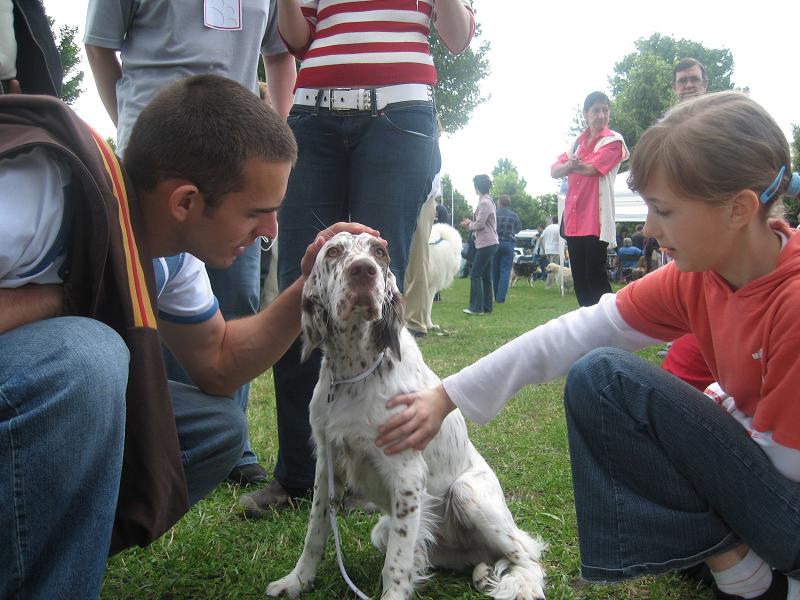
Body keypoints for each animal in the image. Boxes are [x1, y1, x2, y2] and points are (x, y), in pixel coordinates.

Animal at [266, 232, 548, 600]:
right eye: (333, 251)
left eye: (379, 252)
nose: (363, 270)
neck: (355, 373)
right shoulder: (327, 465)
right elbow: (315, 531)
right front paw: (297, 581)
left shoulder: (408, 476)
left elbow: (396, 564)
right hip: (383, 529)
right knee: (477, 557)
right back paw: (483, 573)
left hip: (467, 492)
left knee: (527, 556)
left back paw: (519, 585)